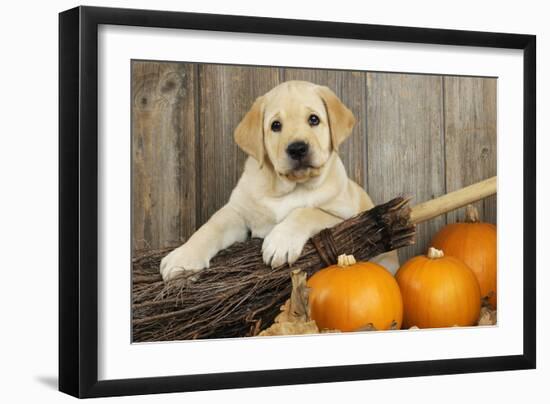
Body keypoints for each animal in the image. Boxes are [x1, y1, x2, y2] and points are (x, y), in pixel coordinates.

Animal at [161, 79, 402, 280]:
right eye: (275, 125)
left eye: (313, 119)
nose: (297, 148)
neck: (290, 187)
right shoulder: (238, 212)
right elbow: (211, 226)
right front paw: (183, 258)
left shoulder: (346, 217)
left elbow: (307, 211)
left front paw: (280, 241)